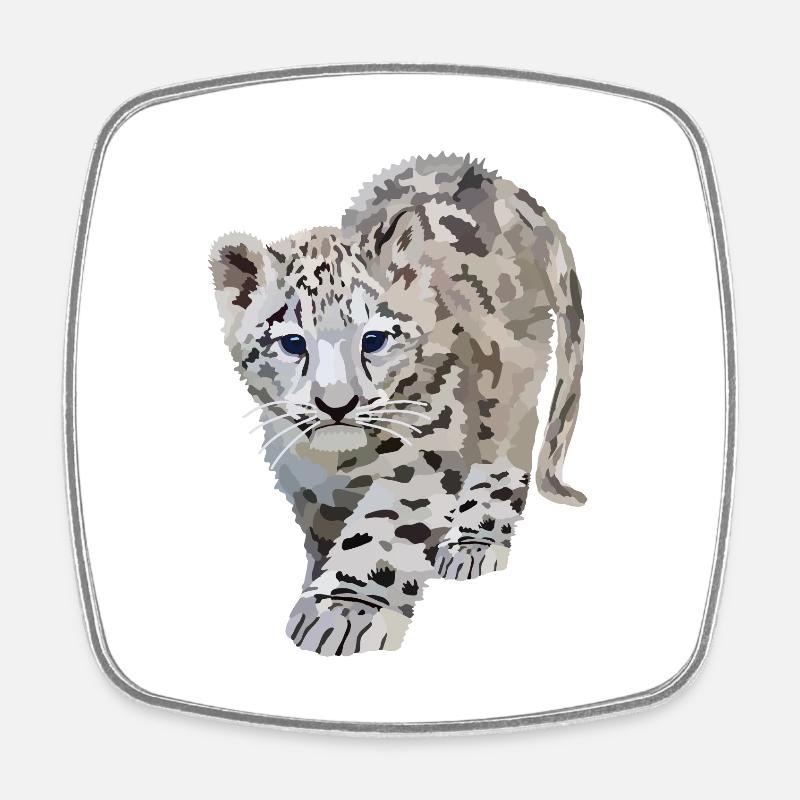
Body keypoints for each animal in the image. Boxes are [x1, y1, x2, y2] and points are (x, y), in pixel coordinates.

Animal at [208, 154, 585, 656]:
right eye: (292, 343)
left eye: (373, 339)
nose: (336, 405)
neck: (339, 463)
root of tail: (489, 178)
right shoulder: (303, 479)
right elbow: (325, 529)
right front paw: (318, 579)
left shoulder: (425, 452)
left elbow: (381, 530)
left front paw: (342, 610)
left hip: (509, 388)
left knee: (504, 455)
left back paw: (473, 544)